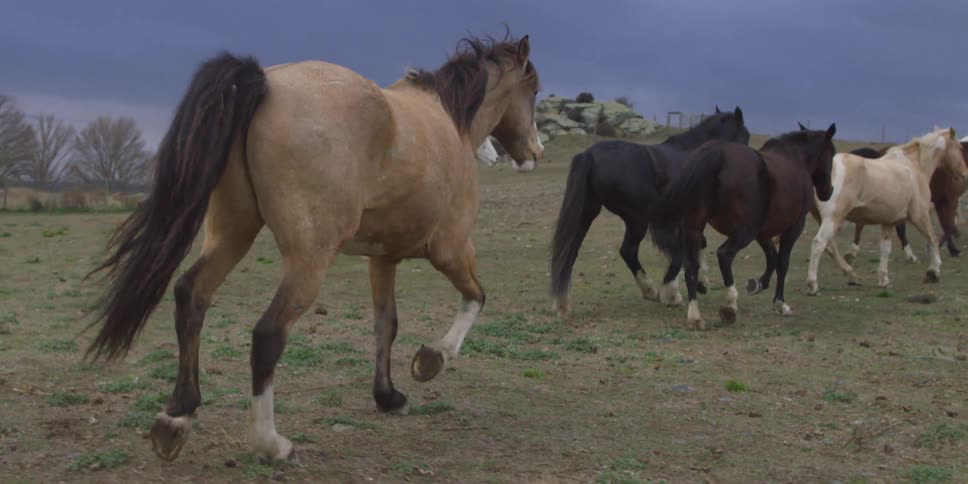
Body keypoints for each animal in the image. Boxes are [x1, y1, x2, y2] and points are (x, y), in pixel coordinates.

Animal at [81, 32, 543, 463]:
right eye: (533, 89)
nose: (533, 152)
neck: (451, 121)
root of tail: (265, 82)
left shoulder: (383, 259)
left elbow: (386, 325)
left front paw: (388, 396)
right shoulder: (451, 249)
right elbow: (475, 298)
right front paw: (432, 360)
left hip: (233, 234)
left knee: (191, 296)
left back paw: (175, 418)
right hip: (308, 261)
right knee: (268, 334)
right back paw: (270, 443)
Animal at [549, 107, 751, 314]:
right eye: (746, 136)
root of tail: (589, 156)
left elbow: (697, 245)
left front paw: (701, 282)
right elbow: (684, 250)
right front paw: (673, 291)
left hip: (587, 215)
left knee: (569, 252)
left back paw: (562, 302)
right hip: (637, 220)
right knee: (628, 251)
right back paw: (655, 291)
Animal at [650, 123, 837, 327]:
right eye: (832, 153)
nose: (828, 192)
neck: (795, 159)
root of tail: (718, 154)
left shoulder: (762, 232)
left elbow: (772, 257)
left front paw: (758, 284)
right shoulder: (793, 227)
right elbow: (782, 262)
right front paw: (780, 304)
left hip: (695, 228)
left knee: (691, 265)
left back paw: (695, 315)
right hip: (744, 232)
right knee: (724, 254)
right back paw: (730, 304)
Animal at [805, 128, 967, 294]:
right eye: (960, 148)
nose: (964, 174)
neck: (914, 166)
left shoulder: (889, 221)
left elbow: (885, 249)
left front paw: (883, 279)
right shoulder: (920, 215)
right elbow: (932, 238)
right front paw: (933, 272)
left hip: (823, 218)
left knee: (830, 246)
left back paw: (852, 275)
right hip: (833, 218)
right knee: (819, 243)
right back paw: (813, 285)